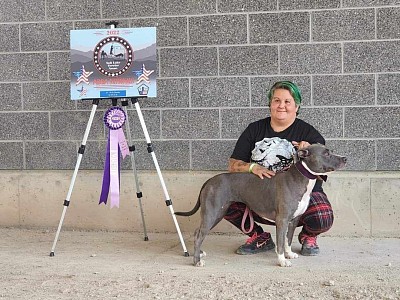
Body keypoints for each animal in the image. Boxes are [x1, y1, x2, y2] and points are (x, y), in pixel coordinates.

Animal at [176, 144, 346, 268]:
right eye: (326, 153)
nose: (345, 158)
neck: (300, 179)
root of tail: (209, 181)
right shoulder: (282, 220)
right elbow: (280, 243)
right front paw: (282, 261)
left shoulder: (293, 220)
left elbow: (288, 240)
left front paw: (289, 254)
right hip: (213, 212)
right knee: (199, 235)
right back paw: (197, 261)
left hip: (217, 213)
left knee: (198, 232)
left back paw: (199, 253)